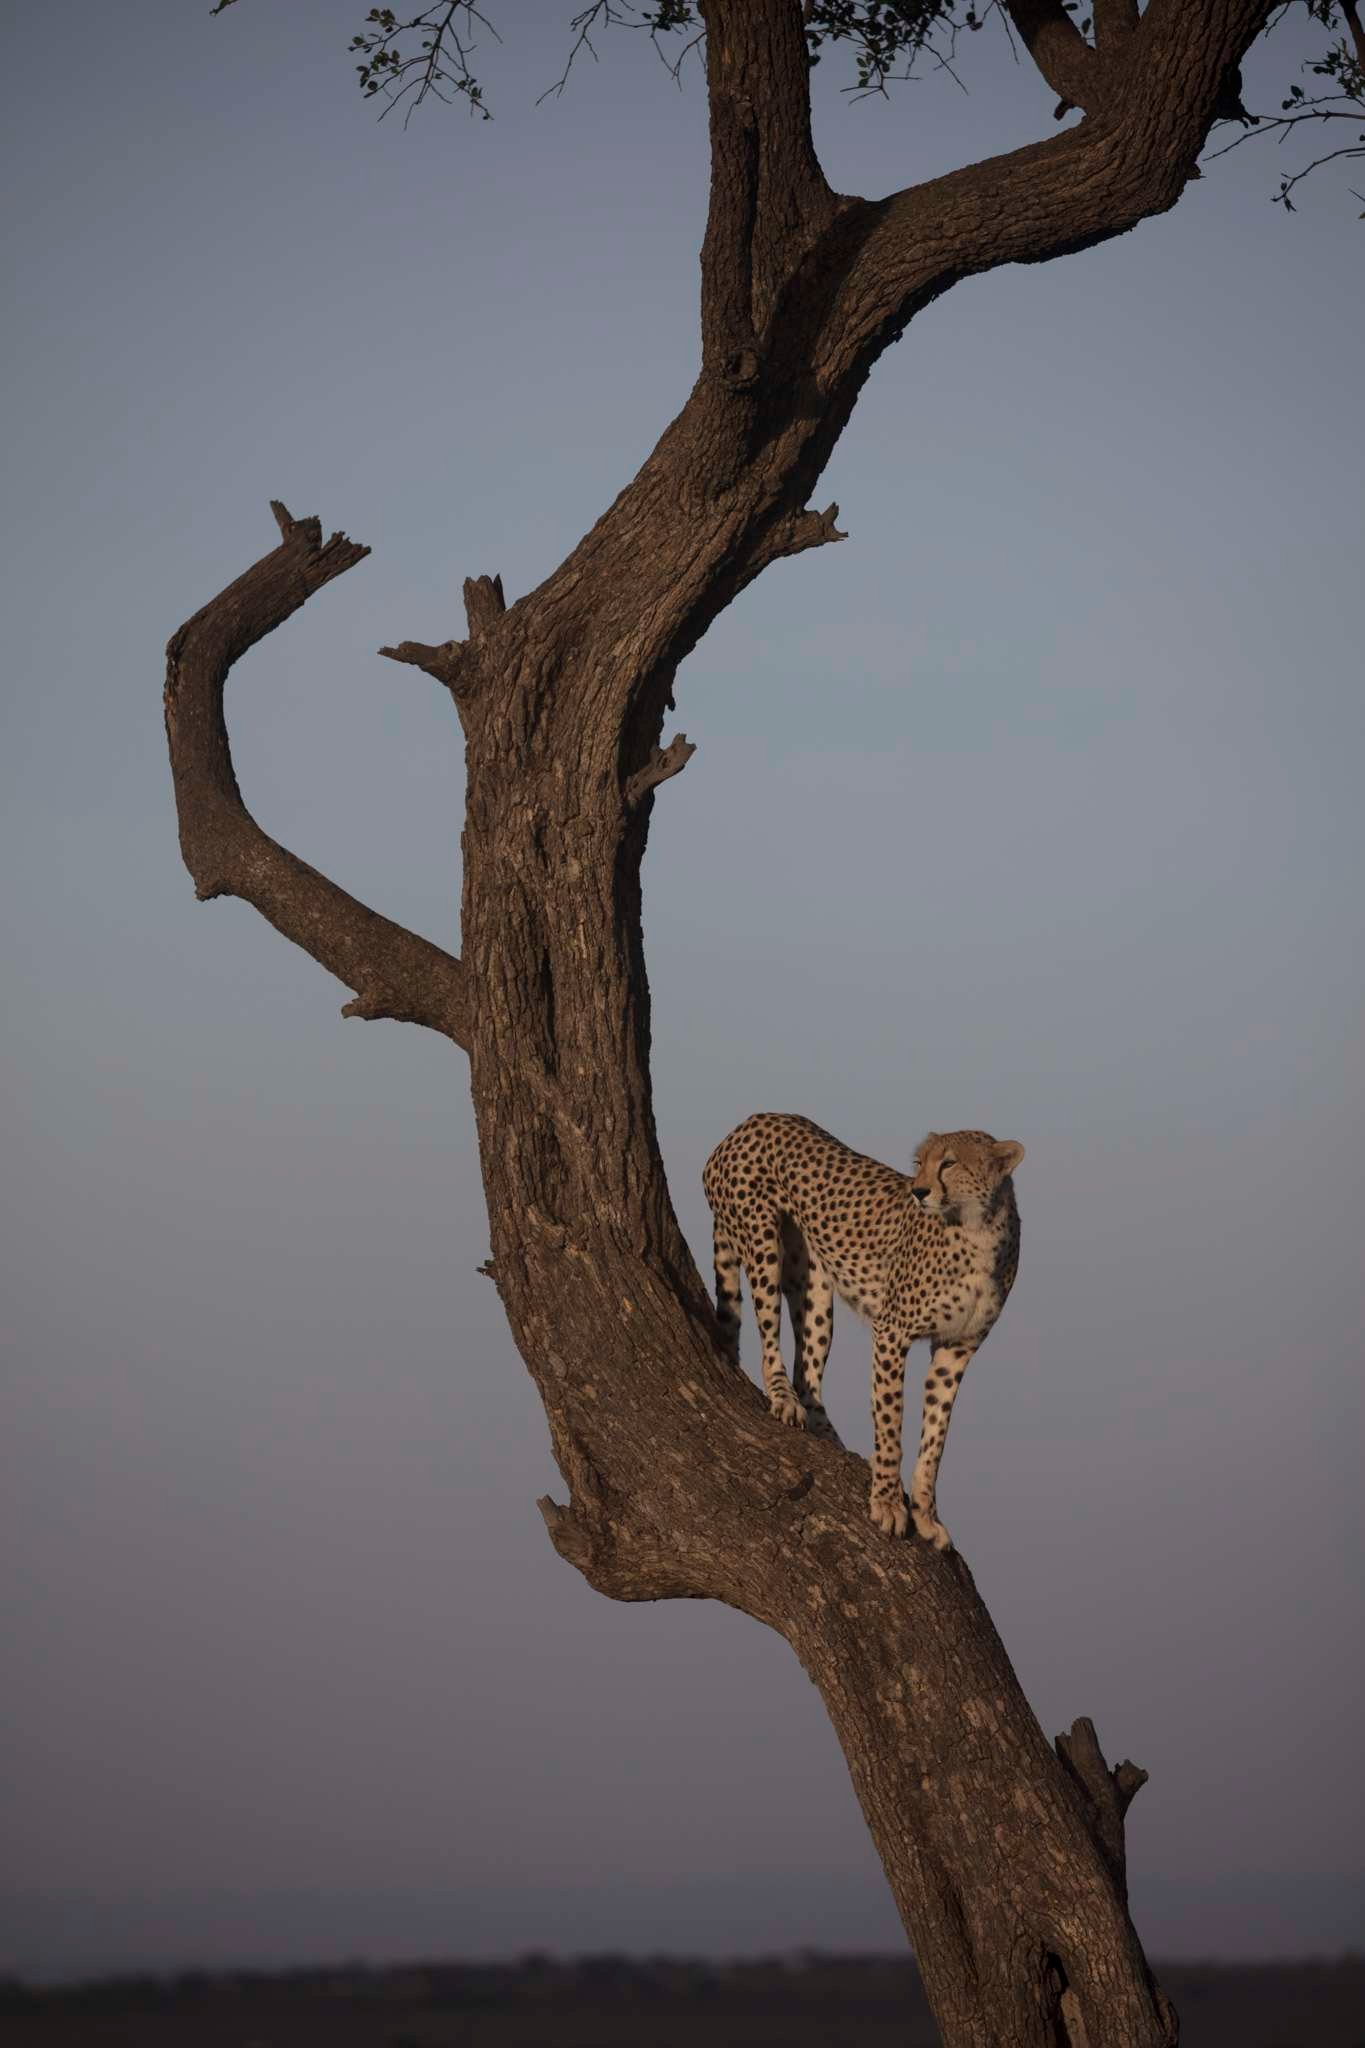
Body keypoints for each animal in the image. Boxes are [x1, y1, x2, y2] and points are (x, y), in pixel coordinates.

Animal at [702, 1113, 1023, 1549]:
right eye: (919, 1162)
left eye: (949, 1163)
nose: (919, 1191)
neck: (979, 1230)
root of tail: (751, 1121)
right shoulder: (892, 1333)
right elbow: (890, 1425)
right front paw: (887, 1502)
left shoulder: (956, 1349)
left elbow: (934, 1439)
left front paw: (926, 1515)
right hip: (762, 1243)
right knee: (770, 1342)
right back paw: (782, 1398)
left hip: (815, 1290)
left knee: (808, 1375)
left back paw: (831, 1440)